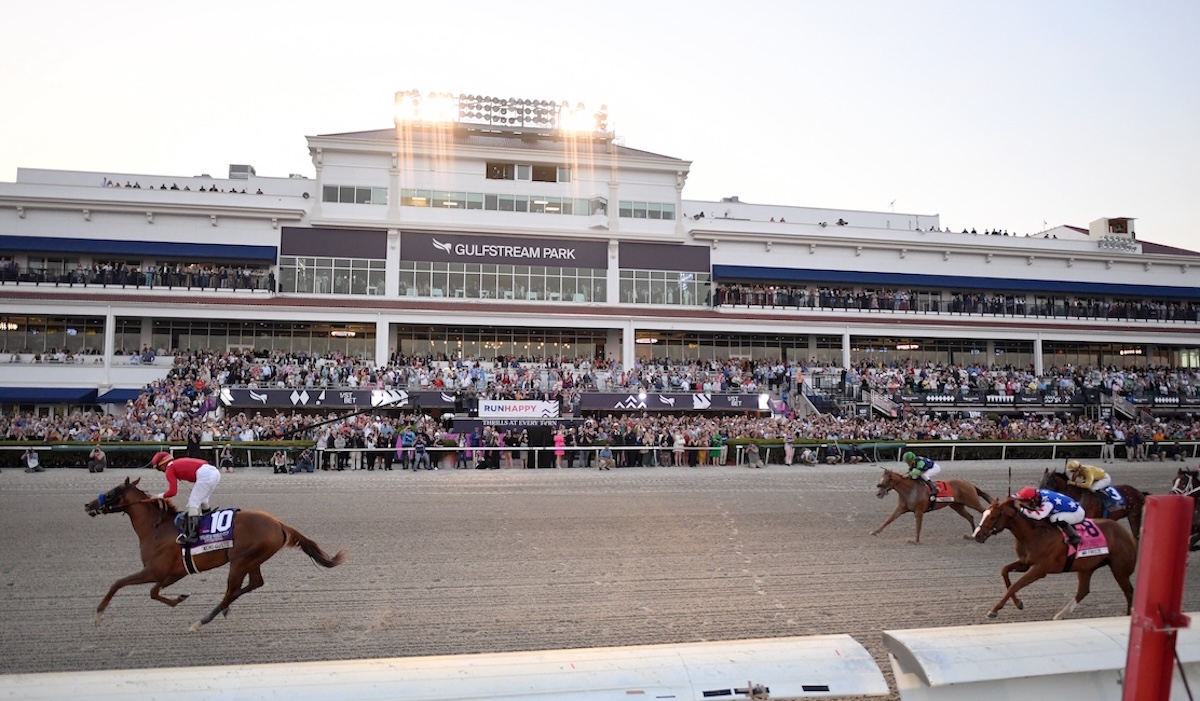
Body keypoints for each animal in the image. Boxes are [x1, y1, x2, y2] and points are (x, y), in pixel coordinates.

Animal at [83, 475, 348, 628]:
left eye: (111, 492)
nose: (88, 505)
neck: (157, 528)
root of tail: (280, 524)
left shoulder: (154, 570)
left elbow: (120, 583)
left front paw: (98, 614)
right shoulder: (174, 573)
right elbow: (154, 592)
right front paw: (179, 598)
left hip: (240, 561)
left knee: (232, 590)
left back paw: (203, 620)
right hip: (252, 560)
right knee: (254, 583)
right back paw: (223, 609)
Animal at [974, 494, 1132, 619]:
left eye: (993, 517)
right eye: (984, 514)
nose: (977, 535)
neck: (1034, 534)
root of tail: (1126, 532)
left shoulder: (1040, 569)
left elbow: (1015, 585)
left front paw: (994, 610)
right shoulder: (1024, 563)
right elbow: (1004, 571)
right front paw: (1018, 603)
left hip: (1119, 569)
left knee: (1129, 591)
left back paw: (1128, 615)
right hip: (1087, 567)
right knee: (1083, 590)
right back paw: (1060, 615)